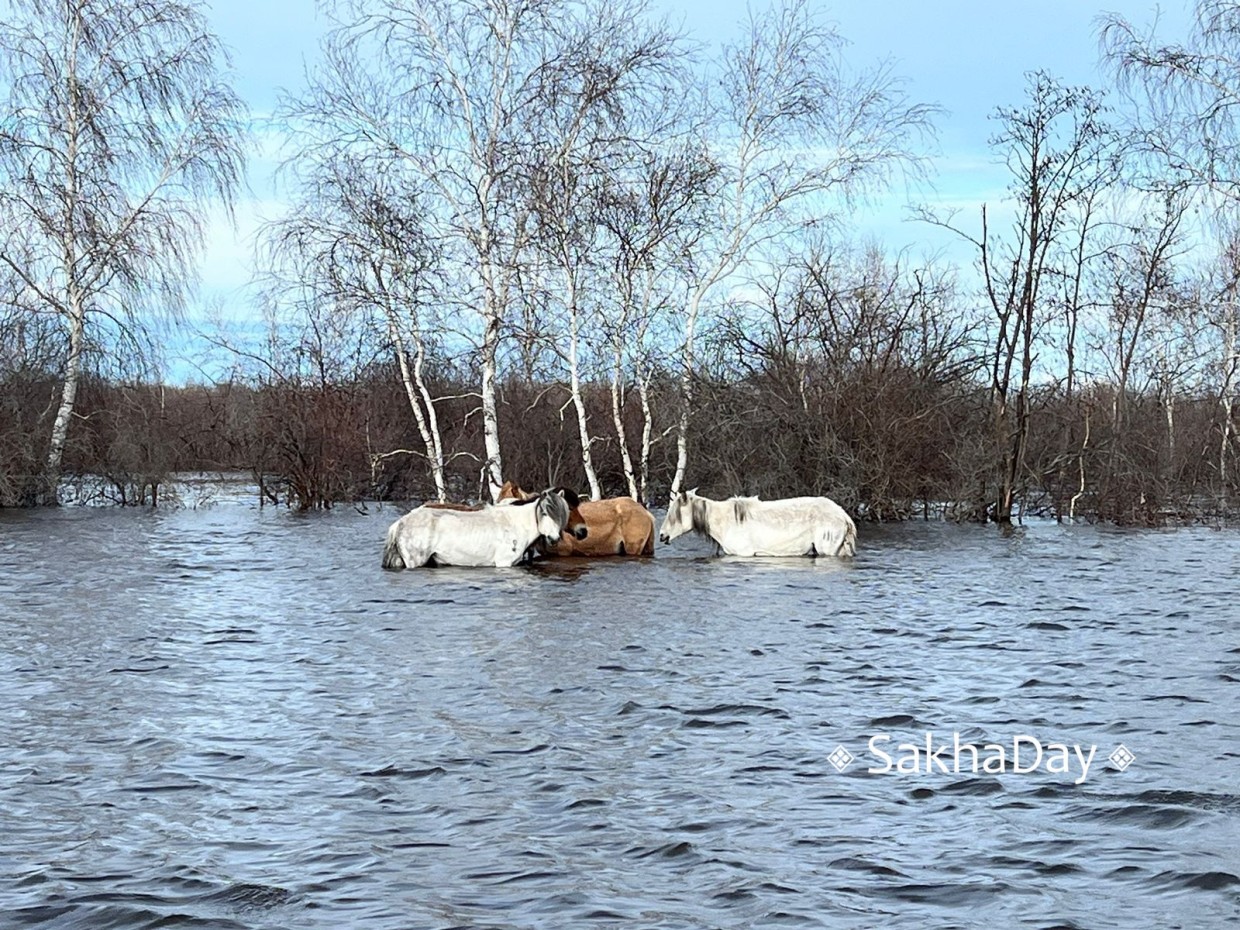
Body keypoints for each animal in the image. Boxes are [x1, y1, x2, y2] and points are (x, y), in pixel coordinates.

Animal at [382, 487, 583, 569]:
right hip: (415, 561)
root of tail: (400, 523)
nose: (554, 538)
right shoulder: (504, 563)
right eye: (544, 513)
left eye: (562, 512)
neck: (516, 524)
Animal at [658, 488, 856, 557]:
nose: (662, 536)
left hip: (828, 549)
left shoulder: (742, 553)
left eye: (674, 514)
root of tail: (844, 516)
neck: (725, 520)